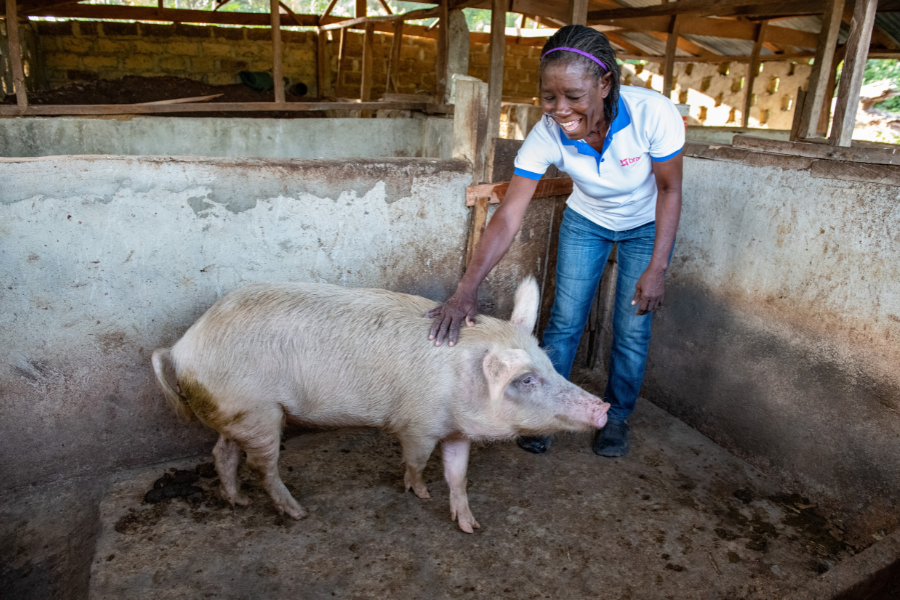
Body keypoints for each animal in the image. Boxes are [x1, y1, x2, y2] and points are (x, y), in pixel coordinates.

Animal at [151, 278, 608, 536]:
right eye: (527, 380)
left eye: (549, 365)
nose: (603, 406)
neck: (461, 382)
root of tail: (181, 347)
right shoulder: (418, 425)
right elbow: (416, 461)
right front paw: (419, 492)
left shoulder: (456, 430)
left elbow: (458, 475)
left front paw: (470, 527)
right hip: (259, 412)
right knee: (261, 466)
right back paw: (297, 513)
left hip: (234, 411)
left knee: (222, 452)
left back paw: (238, 503)